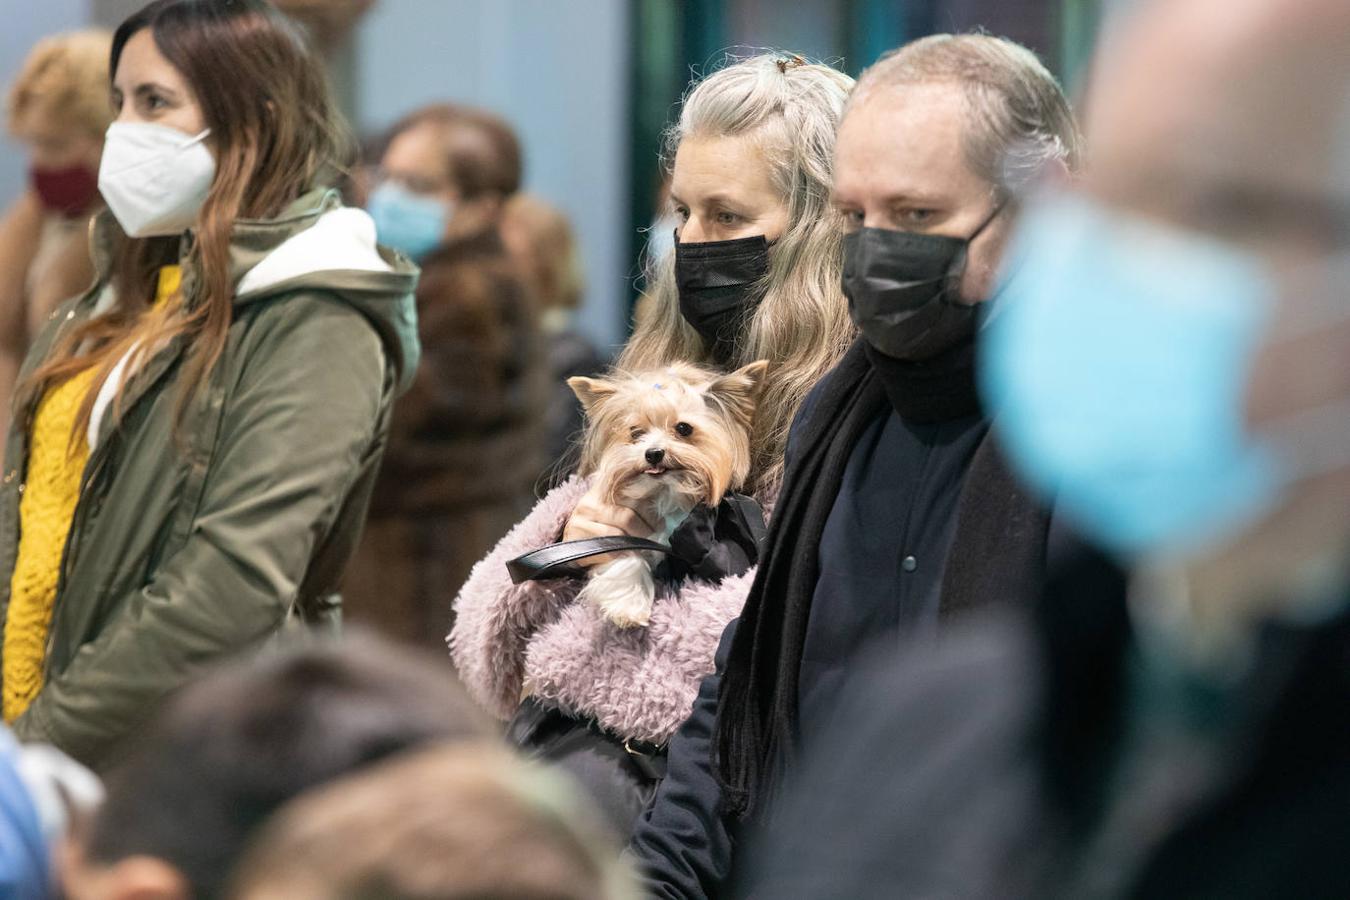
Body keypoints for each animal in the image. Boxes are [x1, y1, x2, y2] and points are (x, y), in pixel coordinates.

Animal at [564, 358, 766, 626]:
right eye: (635, 432)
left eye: (683, 428)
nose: (653, 453)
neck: (666, 492)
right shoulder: (620, 532)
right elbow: (624, 554)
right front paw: (628, 606)